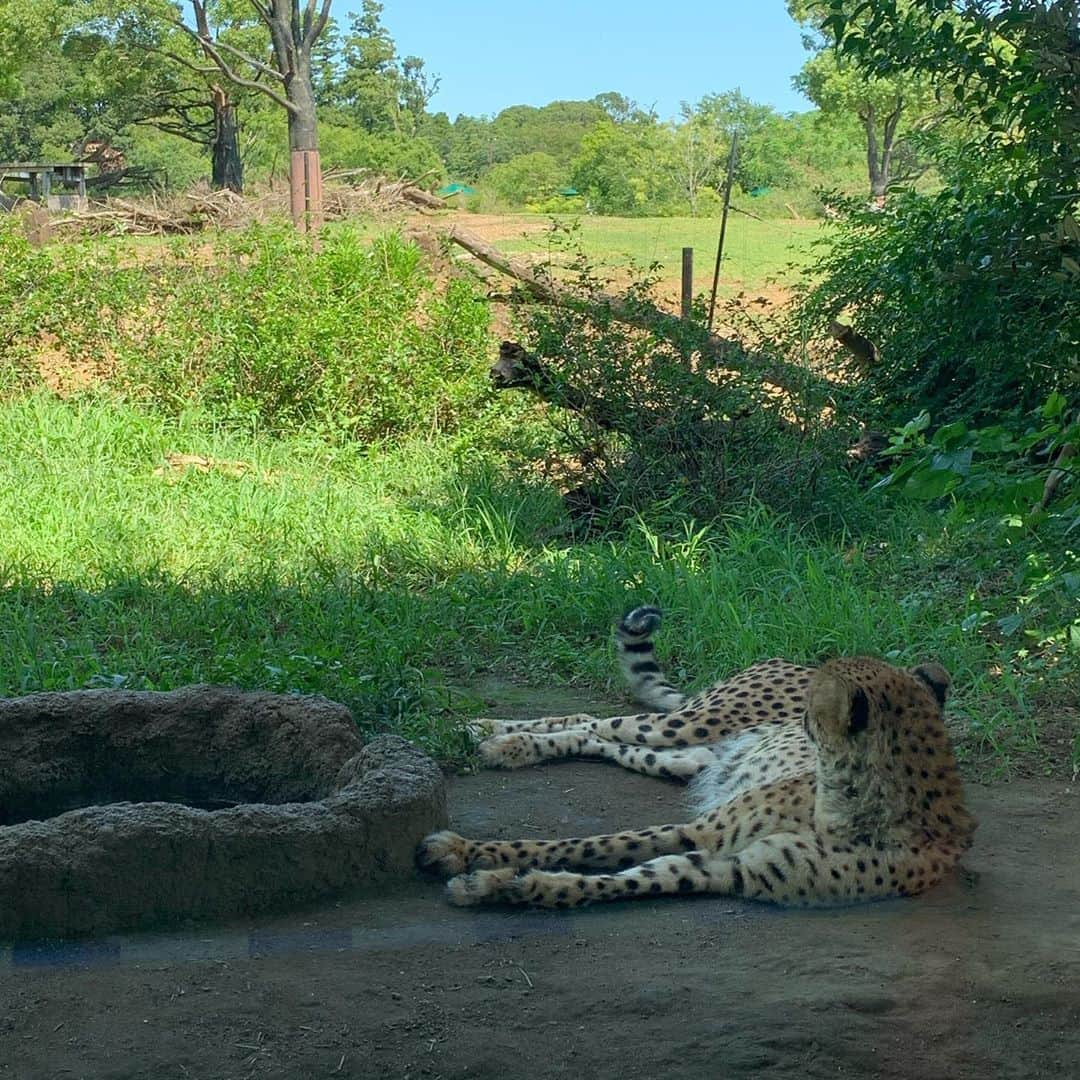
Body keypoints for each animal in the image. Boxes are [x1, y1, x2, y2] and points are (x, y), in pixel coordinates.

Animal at [416, 609, 976, 911]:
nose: (802, 714)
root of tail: (780, 659)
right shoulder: (705, 832)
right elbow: (581, 843)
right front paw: (463, 851)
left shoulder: (721, 863)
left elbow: (614, 873)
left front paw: (505, 884)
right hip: (690, 724)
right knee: (596, 721)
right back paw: (490, 735)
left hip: (690, 756)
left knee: (609, 742)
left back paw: (497, 742)